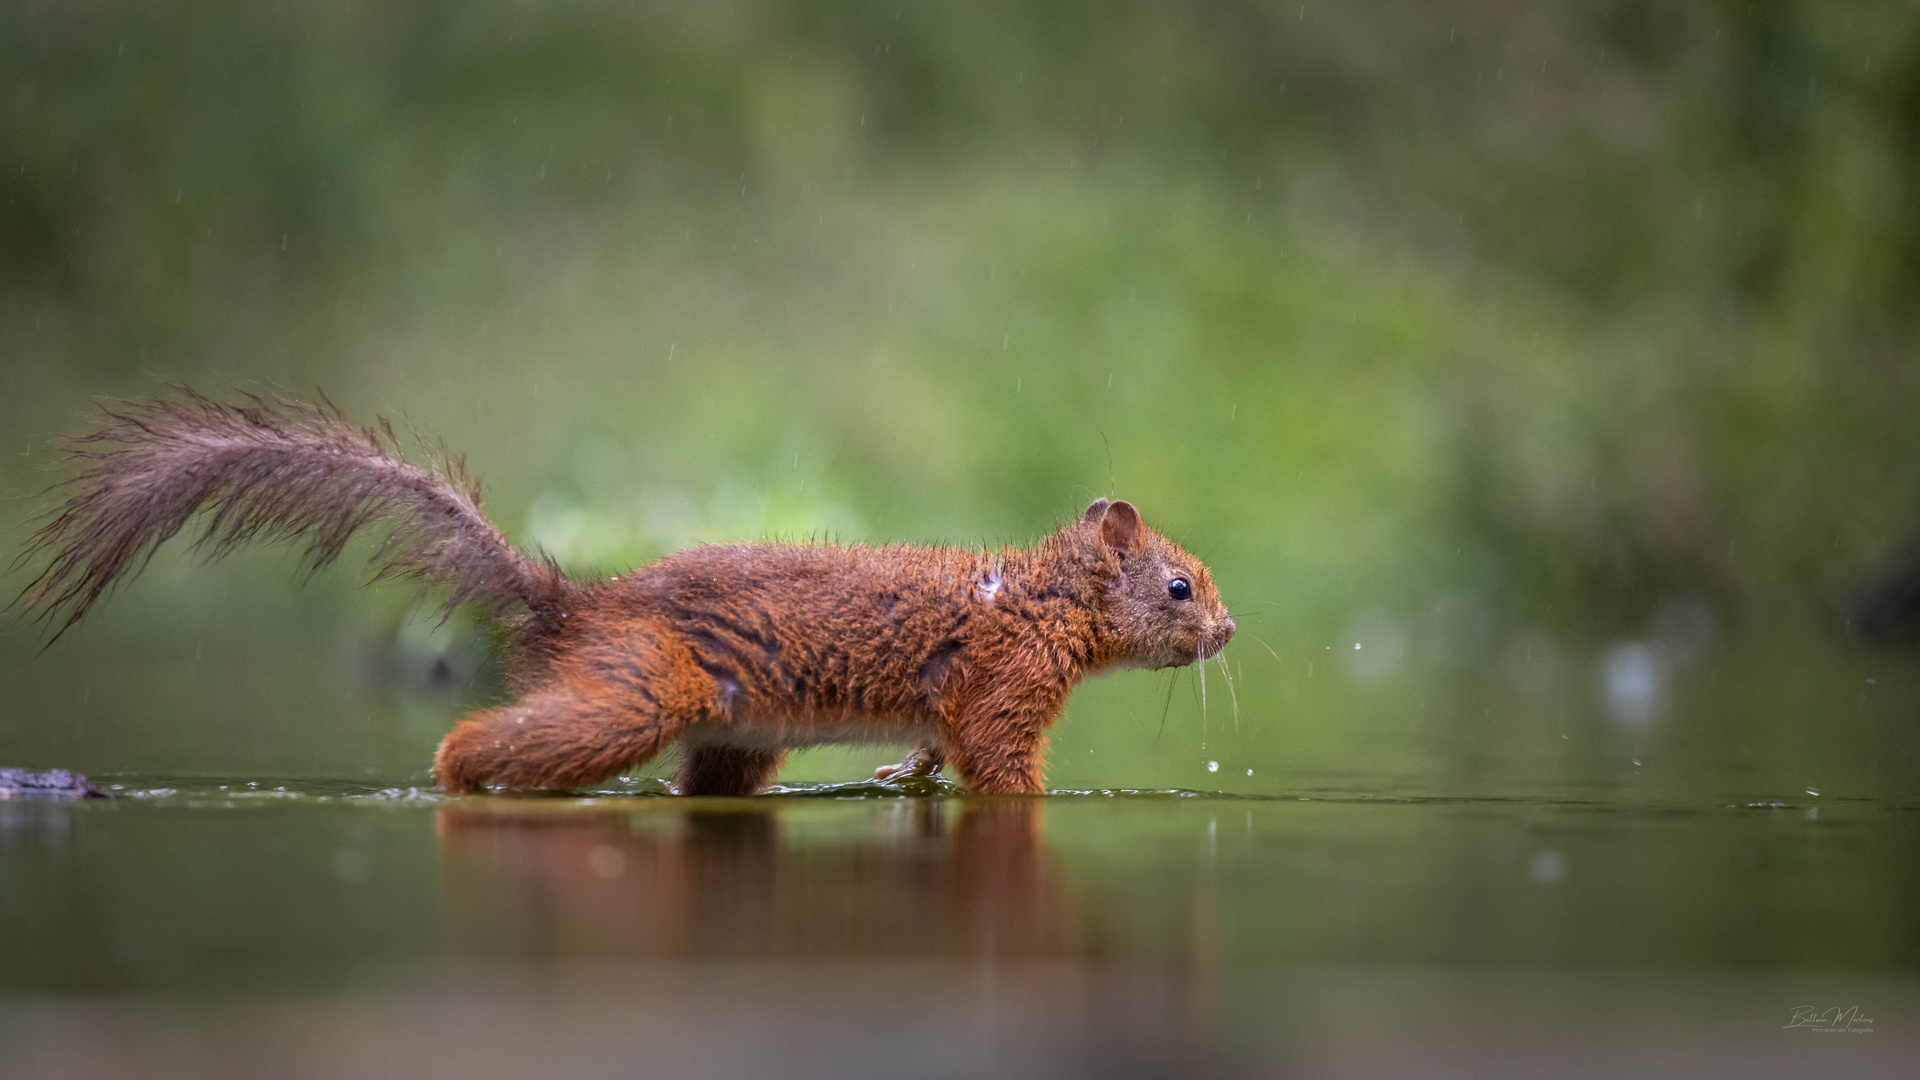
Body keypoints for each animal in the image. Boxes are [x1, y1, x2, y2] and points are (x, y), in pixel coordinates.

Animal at [15, 388, 1236, 791]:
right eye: (1183, 585)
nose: (1231, 629)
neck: (1034, 603)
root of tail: (575, 603)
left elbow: (940, 754)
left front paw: (903, 776)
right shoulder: (1004, 685)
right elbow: (1001, 767)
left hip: (737, 739)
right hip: (639, 687)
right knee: (482, 740)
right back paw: (452, 778)